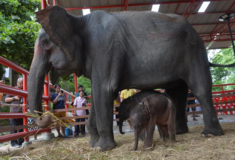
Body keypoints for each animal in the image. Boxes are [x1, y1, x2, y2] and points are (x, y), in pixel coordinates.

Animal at [28, 5, 226, 151]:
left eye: (45, 44)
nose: (45, 115)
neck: (77, 19)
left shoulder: (104, 48)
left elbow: (104, 90)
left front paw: (103, 148)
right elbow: (96, 96)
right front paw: (93, 146)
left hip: (194, 50)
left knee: (200, 88)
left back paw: (210, 134)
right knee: (177, 93)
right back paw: (179, 132)